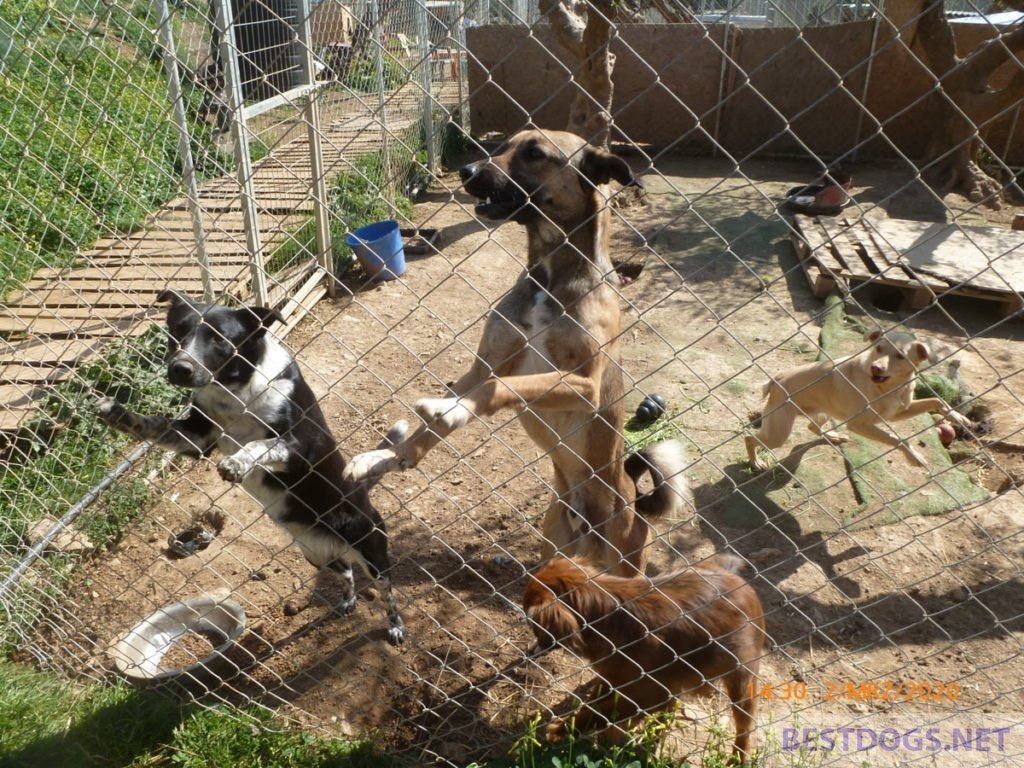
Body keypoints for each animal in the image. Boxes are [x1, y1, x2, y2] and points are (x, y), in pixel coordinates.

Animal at [96, 288, 407, 643]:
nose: (179, 368)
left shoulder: (299, 448)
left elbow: (259, 445)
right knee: (347, 574)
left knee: (387, 589)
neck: (234, 393)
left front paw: (237, 462)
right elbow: (154, 425)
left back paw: (395, 625)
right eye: (177, 331)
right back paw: (347, 601)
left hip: (371, 549)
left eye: (218, 338)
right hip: (316, 555)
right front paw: (118, 413)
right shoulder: (197, 439)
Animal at [344, 131, 688, 577]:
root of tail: (631, 503)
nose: (466, 171)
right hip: (554, 547)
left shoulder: (583, 384)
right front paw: (382, 458)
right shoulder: (485, 363)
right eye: (504, 144)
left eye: (535, 153)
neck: (548, 276)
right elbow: (430, 429)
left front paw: (450, 410)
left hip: (627, 565)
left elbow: (496, 389)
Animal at [524, 557, 765, 761]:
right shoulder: (614, 675)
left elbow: (599, 710)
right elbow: (595, 700)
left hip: (742, 678)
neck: (606, 616)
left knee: (744, 728)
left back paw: (737, 758)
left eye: (533, 624)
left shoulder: (647, 693)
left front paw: (562, 729)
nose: (531, 650)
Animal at [745, 329, 966, 473]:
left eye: (900, 356)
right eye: (878, 348)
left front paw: (958, 417)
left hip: (825, 412)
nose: (876, 367)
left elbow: (936, 399)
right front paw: (914, 457)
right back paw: (756, 463)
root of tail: (776, 379)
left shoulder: (898, 412)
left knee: (812, 427)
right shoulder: (859, 425)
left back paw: (833, 436)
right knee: (749, 437)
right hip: (778, 434)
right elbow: (898, 439)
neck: (891, 388)